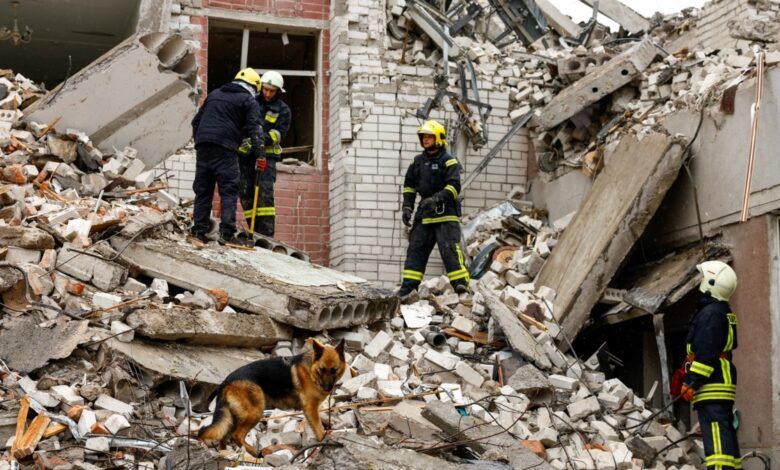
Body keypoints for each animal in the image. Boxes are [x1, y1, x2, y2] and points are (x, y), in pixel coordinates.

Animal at [200, 338, 346, 456]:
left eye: (334, 370)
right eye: (322, 369)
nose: (327, 388)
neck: (311, 370)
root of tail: (226, 381)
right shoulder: (311, 408)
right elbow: (319, 429)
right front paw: (324, 441)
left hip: (233, 418)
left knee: (224, 436)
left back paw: (225, 453)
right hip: (255, 412)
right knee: (236, 435)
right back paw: (254, 452)